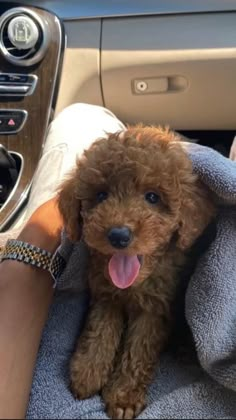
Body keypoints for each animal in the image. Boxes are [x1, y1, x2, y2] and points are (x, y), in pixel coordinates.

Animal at [57, 127, 216, 420]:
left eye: (152, 197)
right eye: (101, 196)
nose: (118, 235)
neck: (132, 285)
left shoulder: (154, 310)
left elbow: (138, 350)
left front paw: (123, 397)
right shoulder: (105, 296)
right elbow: (99, 330)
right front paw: (87, 372)